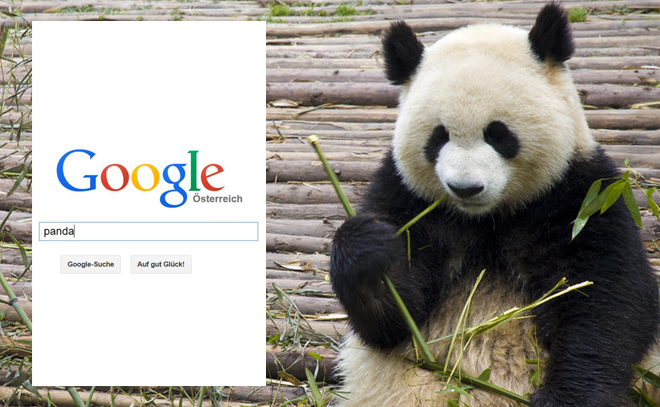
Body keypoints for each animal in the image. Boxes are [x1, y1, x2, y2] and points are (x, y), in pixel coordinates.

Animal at [329, 3, 660, 407]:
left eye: (499, 135)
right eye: (438, 137)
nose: (465, 188)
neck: (487, 218)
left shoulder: (580, 196)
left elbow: (606, 299)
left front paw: (564, 396)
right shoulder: (408, 198)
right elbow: (393, 319)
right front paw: (367, 252)